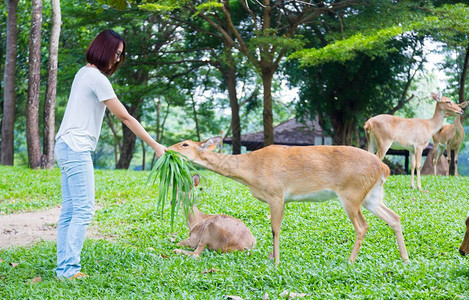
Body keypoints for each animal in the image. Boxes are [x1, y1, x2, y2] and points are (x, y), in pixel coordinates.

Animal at [169, 137, 410, 264]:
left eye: (184, 144)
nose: (167, 150)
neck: (250, 170)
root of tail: (384, 167)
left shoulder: (276, 193)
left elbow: (275, 229)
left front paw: (275, 262)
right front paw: (271, 258)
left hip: (351, 193)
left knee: (363, 226)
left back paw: (349, 261)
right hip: (371, 195)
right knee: (395, 217)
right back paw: (405, 258)